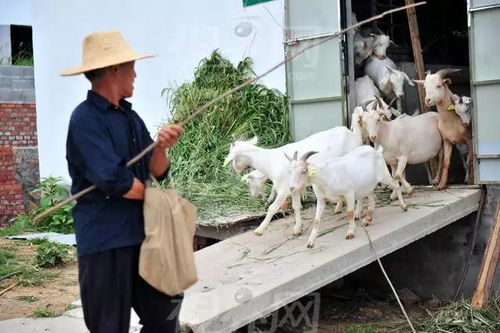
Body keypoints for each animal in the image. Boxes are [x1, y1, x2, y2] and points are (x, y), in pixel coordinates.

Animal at [225, 127, 362, 236]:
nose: (235, 169)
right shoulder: (293, 188)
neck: (269, 162)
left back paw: (357, 213)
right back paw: (339, 207)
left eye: (249, 183)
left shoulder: (284, 189)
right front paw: (297, 228)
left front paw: (260, 229)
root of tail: (350, 133)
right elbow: (296, 206)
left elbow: (272, 208)